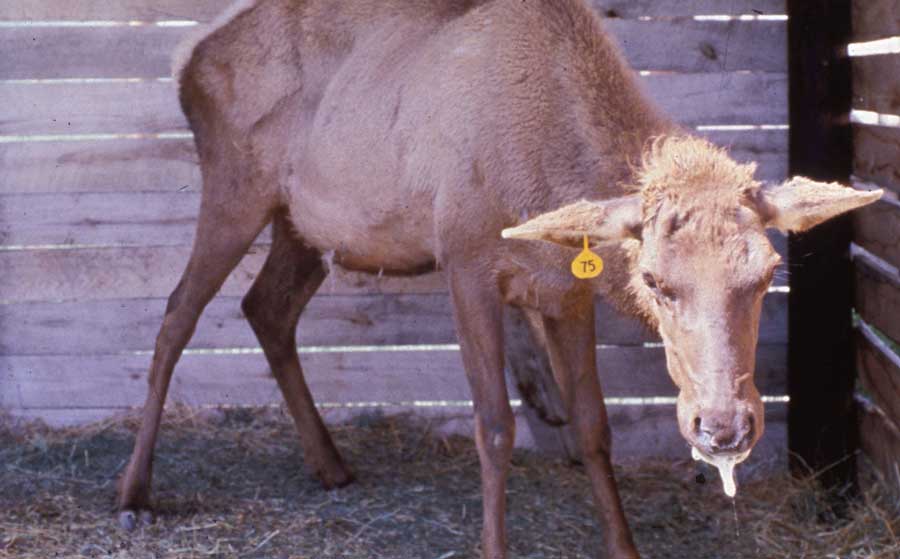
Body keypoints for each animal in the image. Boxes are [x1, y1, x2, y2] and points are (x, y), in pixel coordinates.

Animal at [115, 0, 882, 557]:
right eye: (655, 279)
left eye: (768, 270)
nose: (723, 426)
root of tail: (186, 61)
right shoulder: (465, 263)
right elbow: (494, 425)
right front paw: (493, 544)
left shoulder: (568, 292)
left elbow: (593, 425)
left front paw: (624, 545)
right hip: (234, 188)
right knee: (176, 315)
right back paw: (133, 491)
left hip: (302, 224)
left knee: (265, 307)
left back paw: (329, 463)